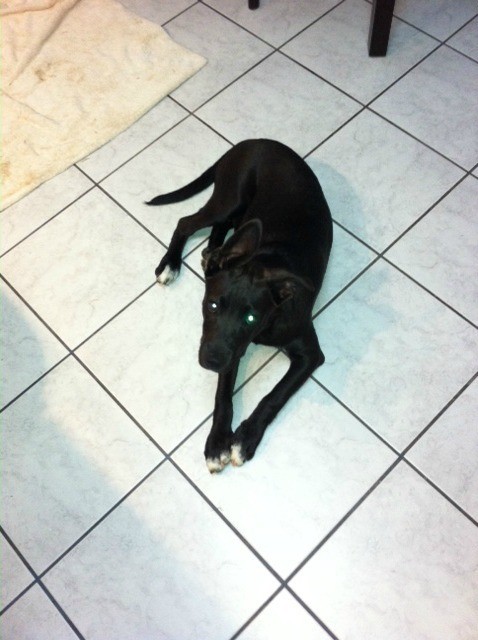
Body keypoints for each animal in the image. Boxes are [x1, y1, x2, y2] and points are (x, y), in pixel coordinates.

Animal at [146, 139, 332, 470]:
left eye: (250, 319)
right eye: (211, 306)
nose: (210, 362)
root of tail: (253, 141)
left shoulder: (309, 354)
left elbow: (274, 396)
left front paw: (244, 440)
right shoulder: (226, 348)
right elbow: (223, 397)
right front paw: (218, 442)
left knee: (219, 231)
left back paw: (210, 253)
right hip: (229, 198)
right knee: (187, 222)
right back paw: (172, 264)